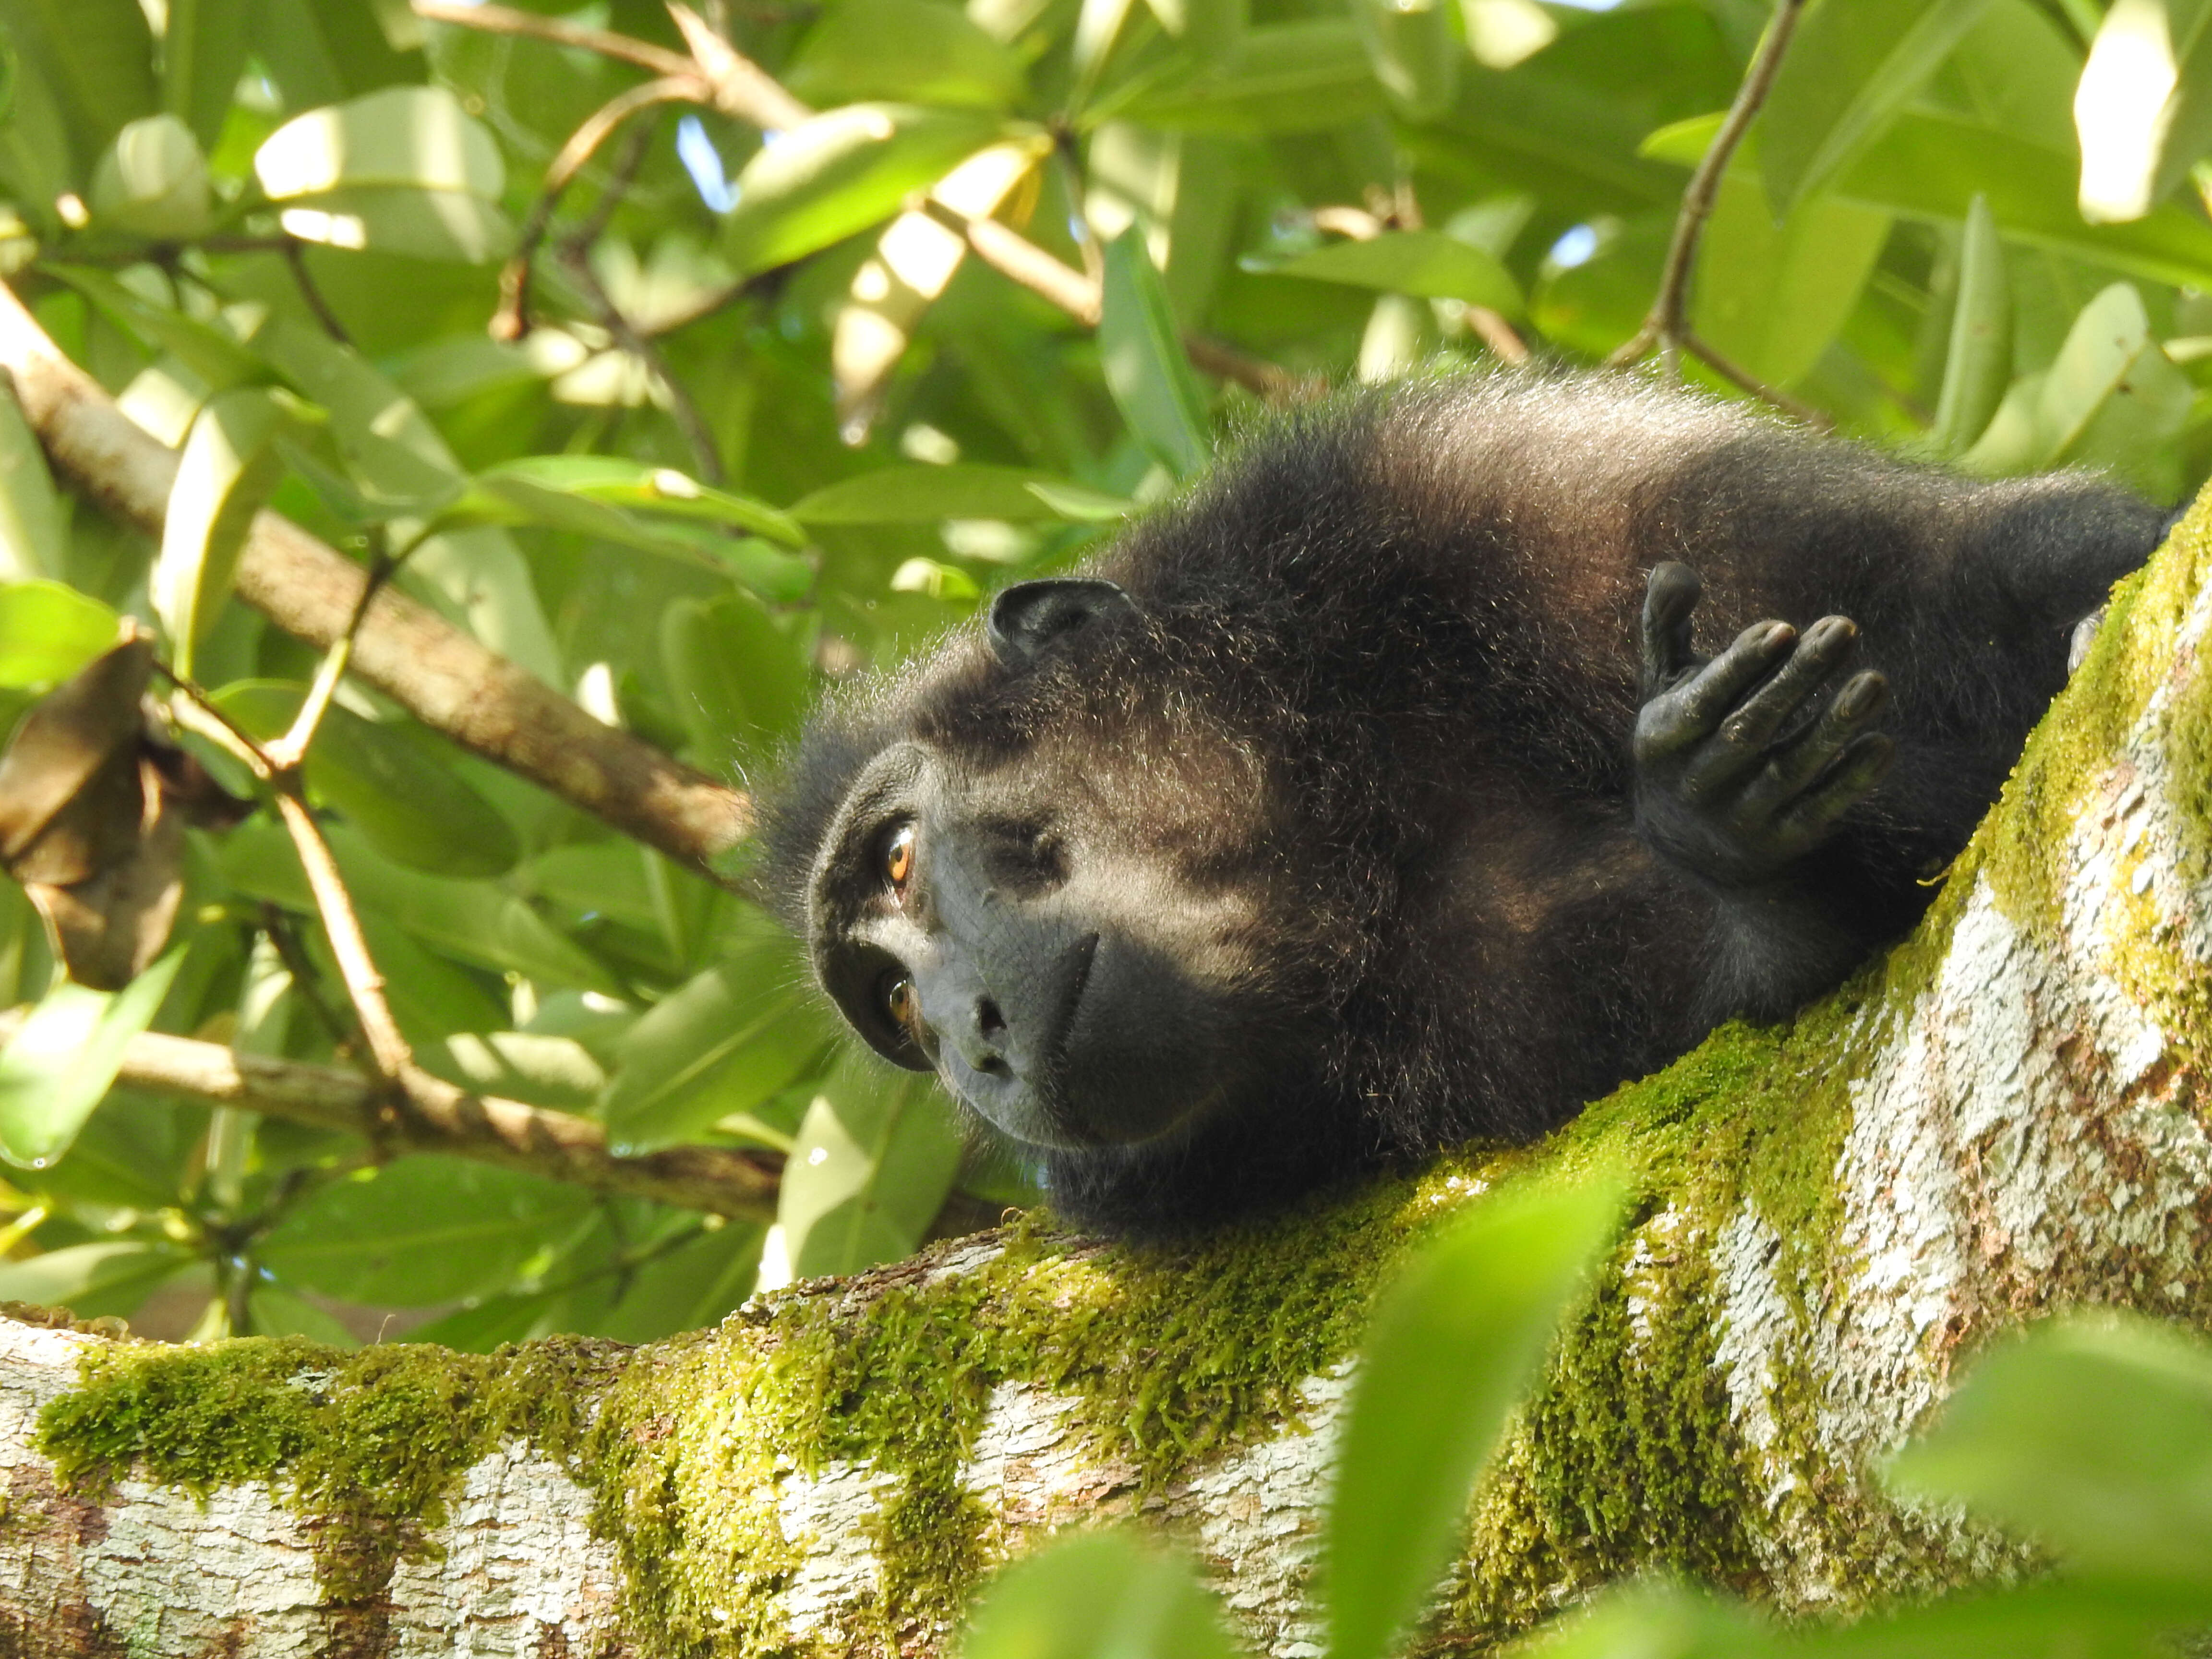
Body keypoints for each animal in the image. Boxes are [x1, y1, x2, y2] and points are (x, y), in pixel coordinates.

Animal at [756, 373, 2159, 1238]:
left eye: (898, 858)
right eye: (895, 1008)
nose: (970, 1038)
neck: (1349, 798)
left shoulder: (1468, 492)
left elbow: (1978, 566)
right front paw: (1748, 862)